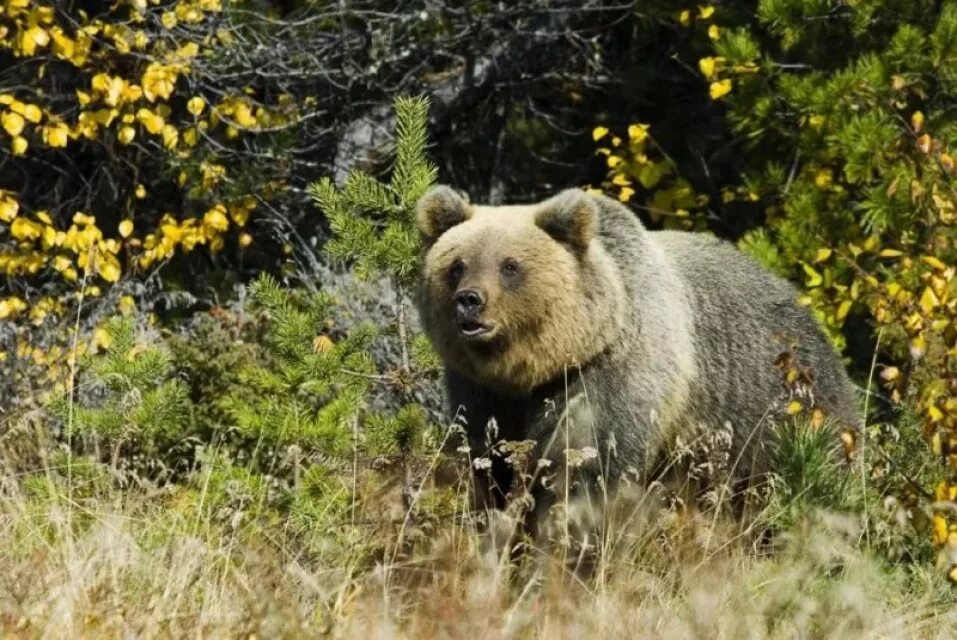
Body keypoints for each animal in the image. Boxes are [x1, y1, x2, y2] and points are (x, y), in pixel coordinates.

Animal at [410, 184, 860, 524]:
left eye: (510, 265)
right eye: (457, 264)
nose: (470, 301)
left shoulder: (612, 373)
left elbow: (587, 467)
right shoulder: (482, 392)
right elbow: (492, 462)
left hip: (783, 416)